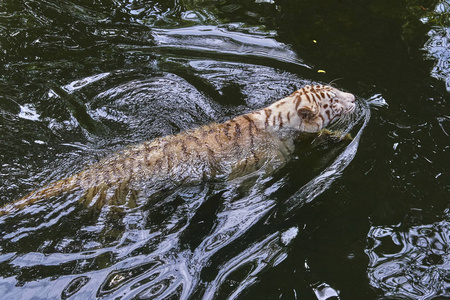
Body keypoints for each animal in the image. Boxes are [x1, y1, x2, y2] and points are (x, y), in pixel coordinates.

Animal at [0, 85, 356, 216]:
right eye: (334, 100)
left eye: (336, 90)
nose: (354, 98)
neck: (278, 116)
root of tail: (92, 170)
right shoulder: (268, 161)